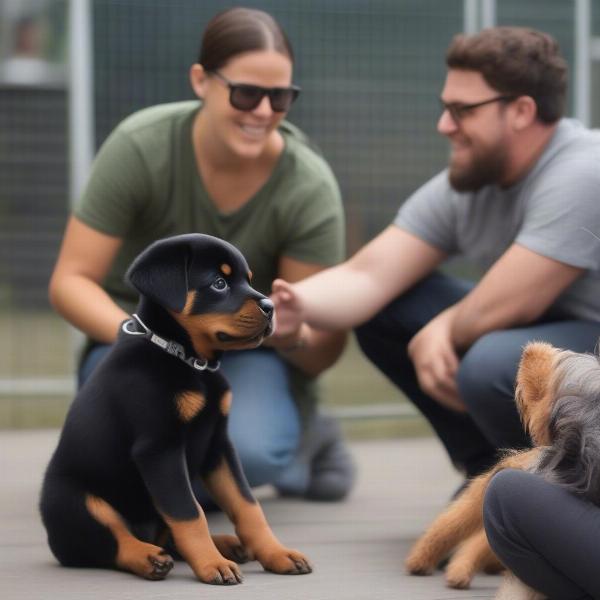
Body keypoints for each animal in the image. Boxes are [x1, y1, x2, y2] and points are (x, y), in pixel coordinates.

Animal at [39, 234, 312, 584]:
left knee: (165, 536)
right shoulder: (159, 448)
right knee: (112, 541)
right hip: (74, 500)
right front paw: (212, 565)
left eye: (248, 279)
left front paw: (277, 554)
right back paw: (149, 557)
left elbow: (247, 505)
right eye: (219, 283)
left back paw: (227, 544)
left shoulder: (218, 444)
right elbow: (189, 512)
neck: (189, 361)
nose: (271, 307)